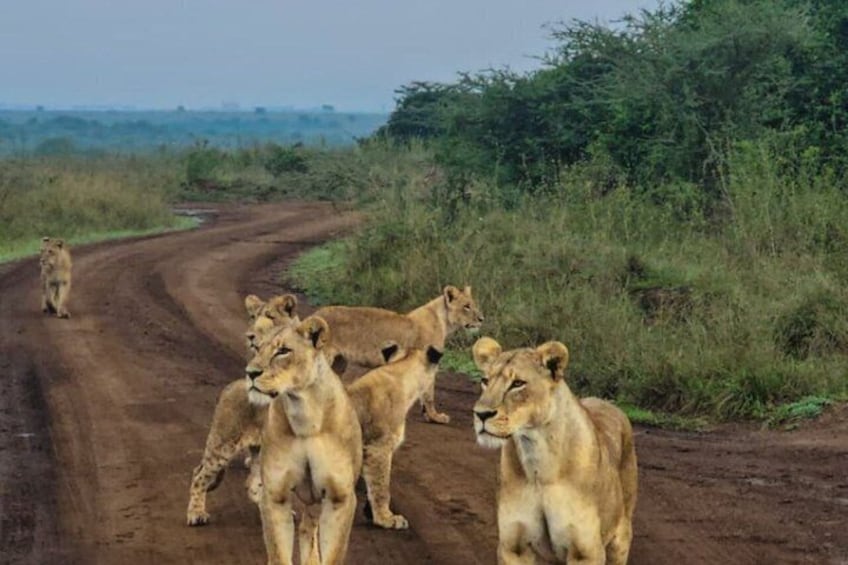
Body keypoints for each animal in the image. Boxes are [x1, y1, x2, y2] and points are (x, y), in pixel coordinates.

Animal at [185, 293, 298, 527]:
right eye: (253, 317)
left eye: (270, 317)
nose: (251, 336)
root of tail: (230, 386)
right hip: (223, 444)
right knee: (199, 474)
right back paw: (195, 513)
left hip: (257, 448)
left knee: (251, 483)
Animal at [246, 316, 362, 565]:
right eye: (258, 349)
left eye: (283, 351)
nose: (250, 372)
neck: (305, 415)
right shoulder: (275, 495)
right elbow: (279, 554)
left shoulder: (340, 498)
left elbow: (333, 555)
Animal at [315, 284, 483, 424]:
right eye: (467, 306)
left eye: (474, 305)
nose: (482, 319)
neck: (444, 322)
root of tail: (315, 314)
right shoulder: (429, 362)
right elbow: (429, 394)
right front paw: (436, 417)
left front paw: (428, 416)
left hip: (339, 362)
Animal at [471, 337, 638, 565]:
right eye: (485, 381)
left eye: (517, 383)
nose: (480, 414)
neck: (539, 463)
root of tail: (607, 402)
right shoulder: (513, 547)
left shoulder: (586, 552)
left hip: (620, 538)